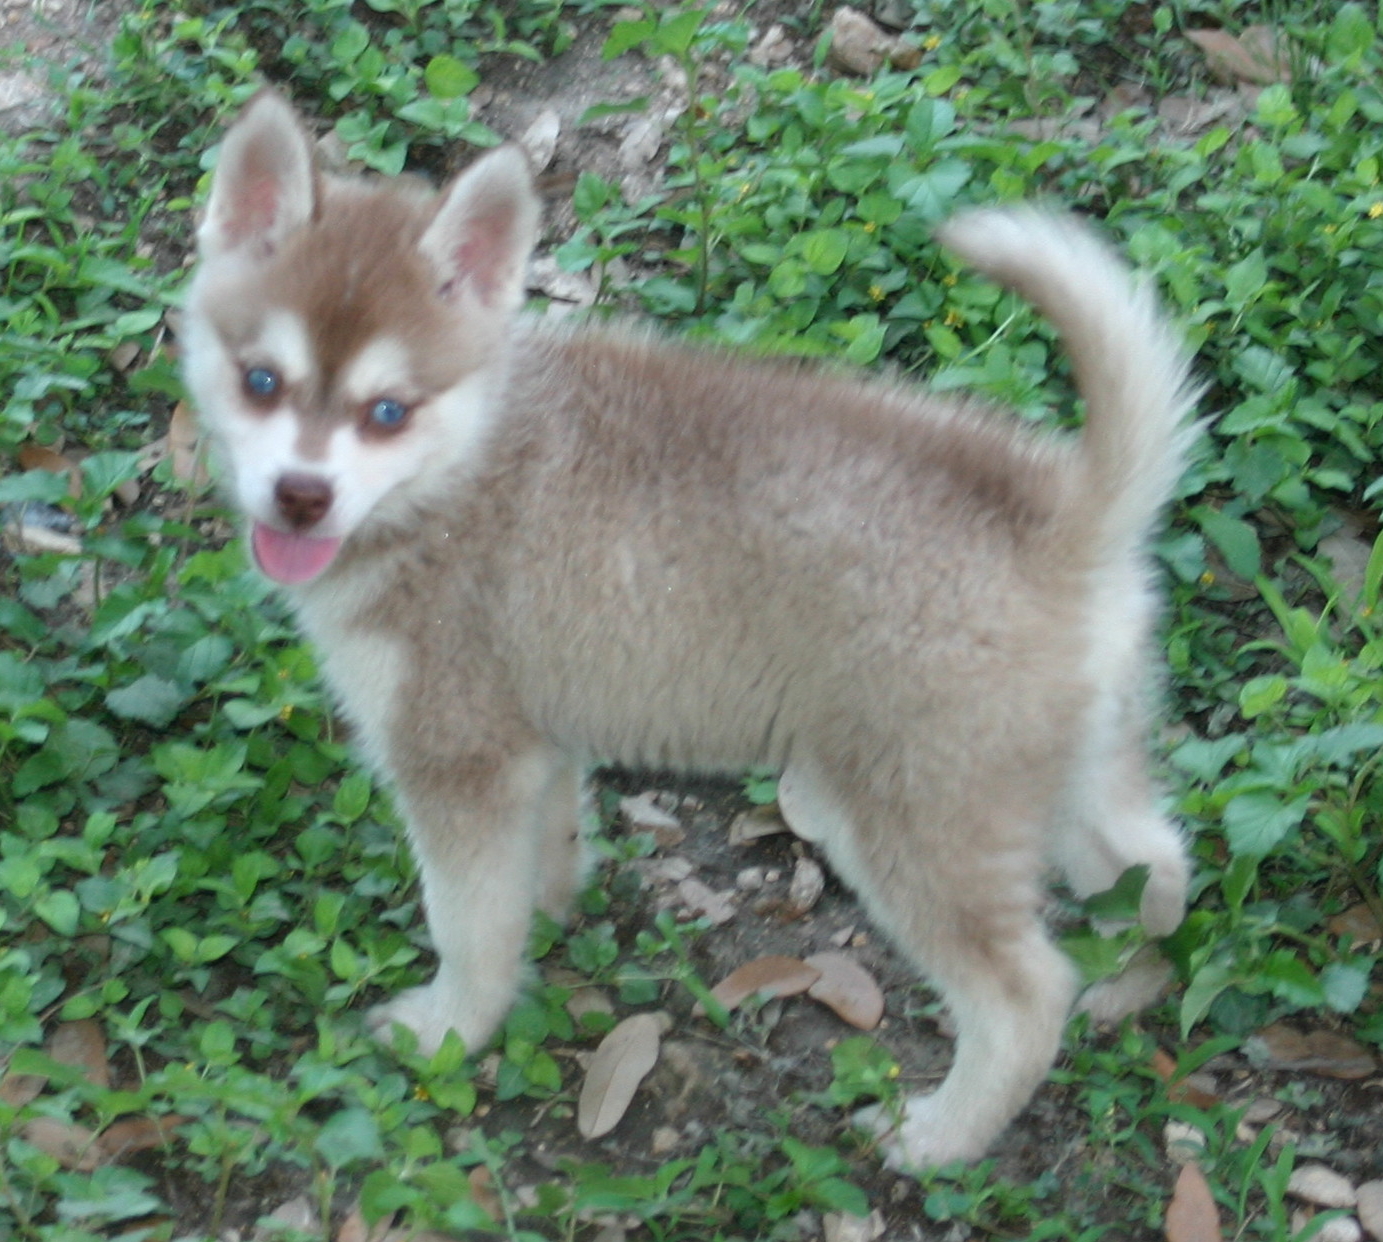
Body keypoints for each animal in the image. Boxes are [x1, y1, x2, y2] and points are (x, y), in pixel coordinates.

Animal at [183, 91, 1200, 1167]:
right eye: (260, 381)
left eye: (387, 410)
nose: (300, 496)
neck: (461, 471)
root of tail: (1064, 515)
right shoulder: (535, 739)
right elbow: (545, 854)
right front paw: (555, 913)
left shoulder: (456, 758)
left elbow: (466, 923)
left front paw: (448, 1031)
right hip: (1062, 766)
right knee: (1151, 861)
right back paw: (1126, 985)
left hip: (907, 813)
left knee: (1022, 992)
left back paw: (939, 1137)